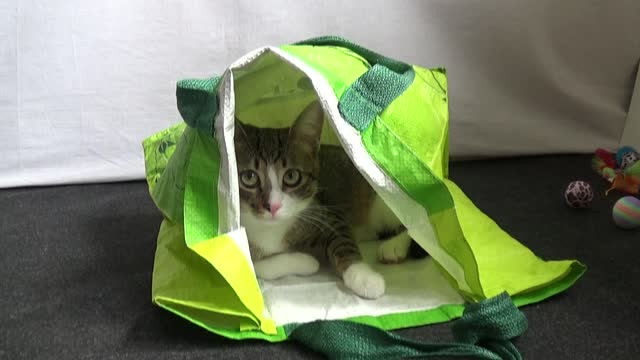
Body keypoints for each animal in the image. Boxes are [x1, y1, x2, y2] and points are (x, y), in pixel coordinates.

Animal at [235, 100, 424, 298]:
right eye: (249, 177)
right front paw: (307, 261)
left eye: (292, 176)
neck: (270, 230)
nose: (273, 206)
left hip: (381, 199)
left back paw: (394, 246)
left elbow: (342, 240)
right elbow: (249, 267)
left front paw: (364, 278)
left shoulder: (325, 213)